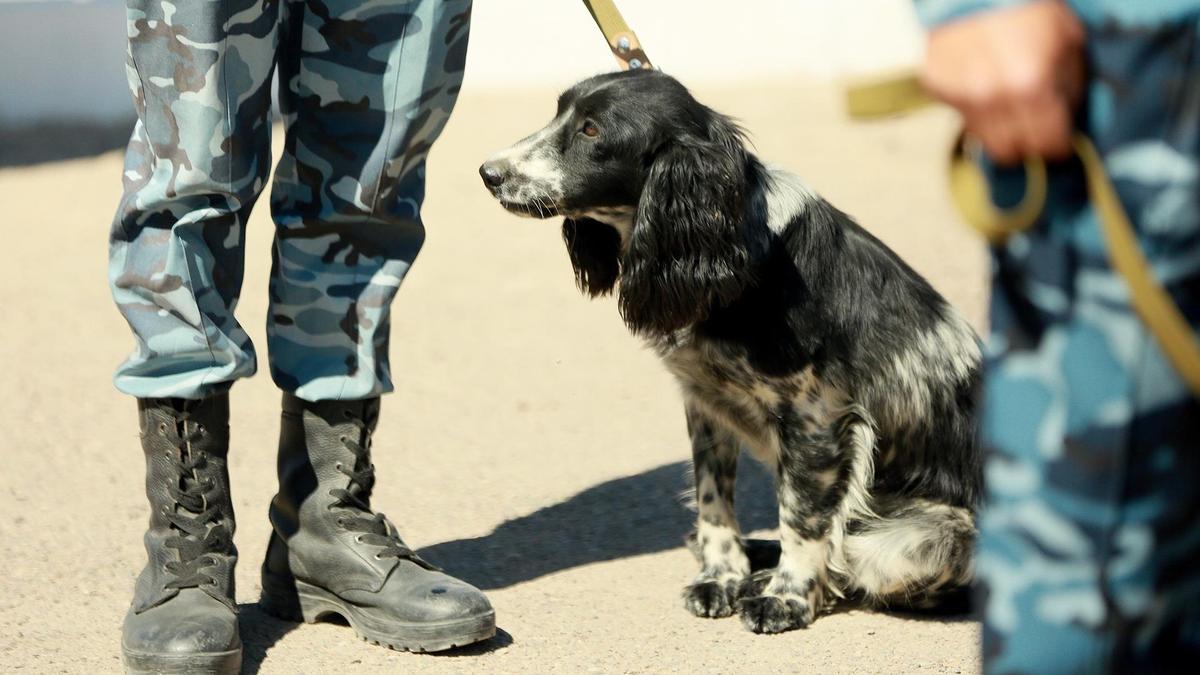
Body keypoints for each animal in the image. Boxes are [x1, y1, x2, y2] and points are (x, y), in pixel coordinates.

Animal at [472, 70, 979, 634]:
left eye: (591, 130)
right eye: (558, 112)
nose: (488, 173)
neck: (732, 248)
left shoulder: (818, 418)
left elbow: (803, 519)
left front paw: (787, 598)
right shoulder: (706, 402)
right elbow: (713, 500)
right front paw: (722, 576)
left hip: (924, 544)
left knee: (859, 560)